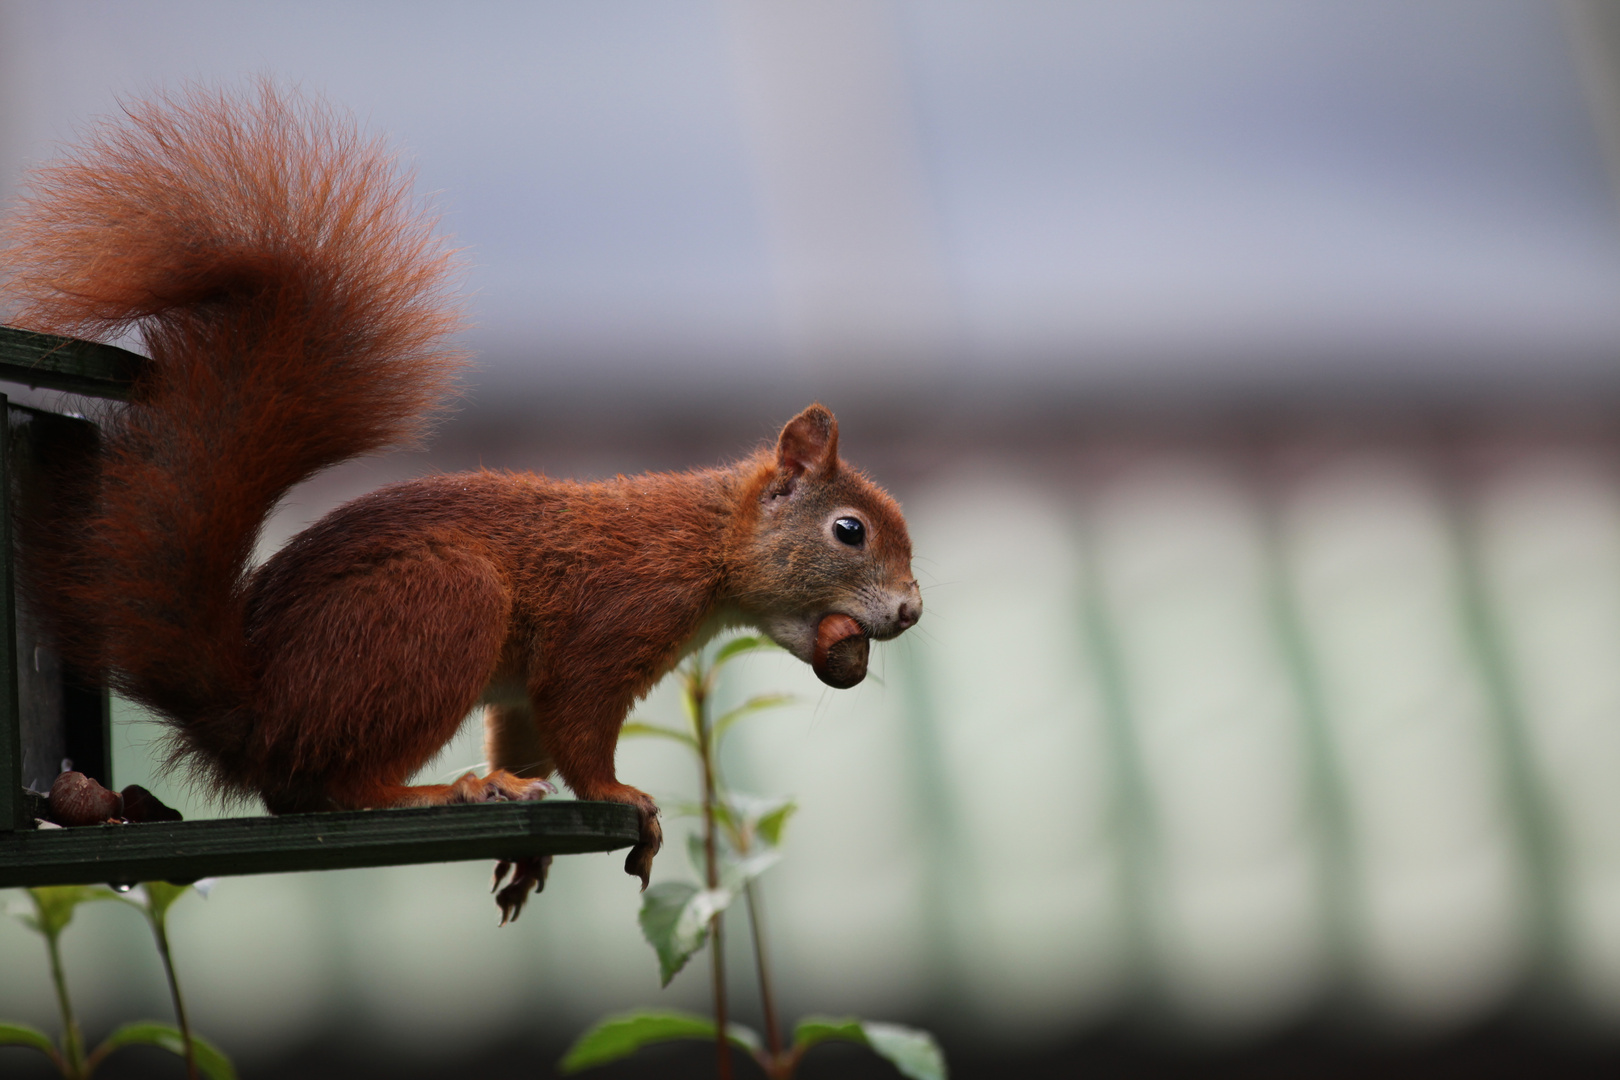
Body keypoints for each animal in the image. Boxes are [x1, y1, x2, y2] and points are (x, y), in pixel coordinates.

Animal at [0, 84, 920, 919]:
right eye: (849, 531)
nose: (911, 611)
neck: (704, 541)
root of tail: (255, 713)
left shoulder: (526, 687)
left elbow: (530, 729)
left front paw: (535, 842)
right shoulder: (612, 619)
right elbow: (578, 720)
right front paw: (621, 795)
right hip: (440, 607)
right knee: (328, 790)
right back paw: (444, 791)